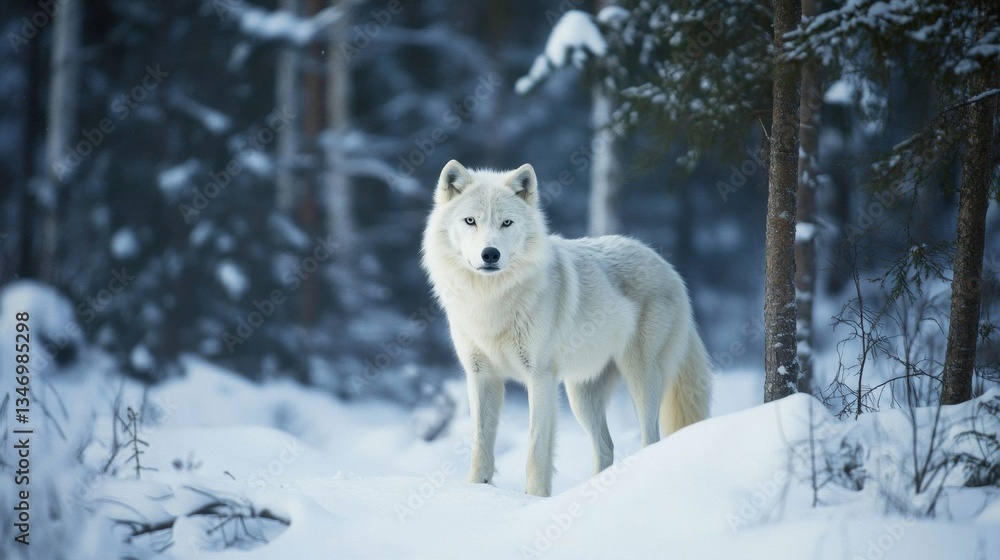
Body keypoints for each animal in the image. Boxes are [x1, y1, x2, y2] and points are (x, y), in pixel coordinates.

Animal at [421, 160, 712, 497]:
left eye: (506, 223)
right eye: (470, 221)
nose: (490, 254)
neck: (491, 301)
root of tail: (670, 269)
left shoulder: (540, 378)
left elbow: (536, 447)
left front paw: (535, 498)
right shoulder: (481, 376)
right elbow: (481, 443)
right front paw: (478, 491)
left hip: (641, 379)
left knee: (649, 439)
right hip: (581, 395)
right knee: (606, 446)